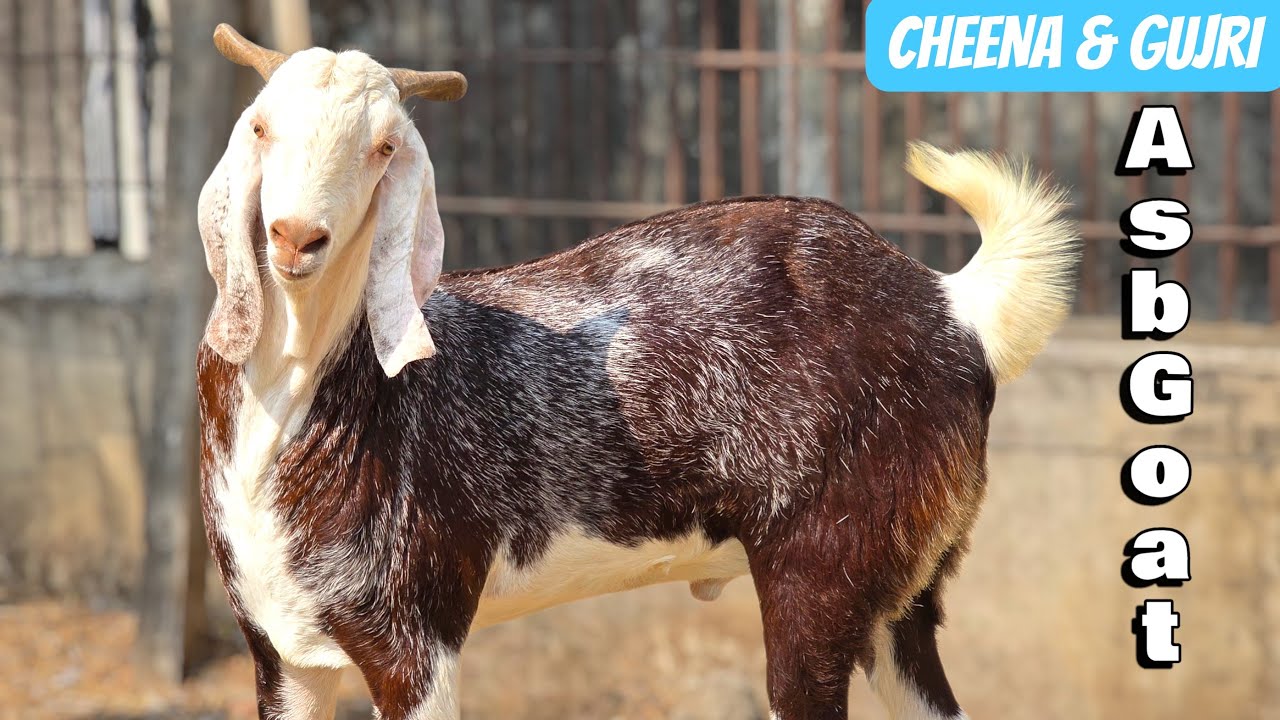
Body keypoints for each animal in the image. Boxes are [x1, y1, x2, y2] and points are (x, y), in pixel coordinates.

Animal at [197, 24, 1078, 720]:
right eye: (261, 126)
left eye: (383, 148)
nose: (296, 236)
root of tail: (948, 305)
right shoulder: (282, 651)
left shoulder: (416, 637)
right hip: (903, 596)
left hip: (824, 576)